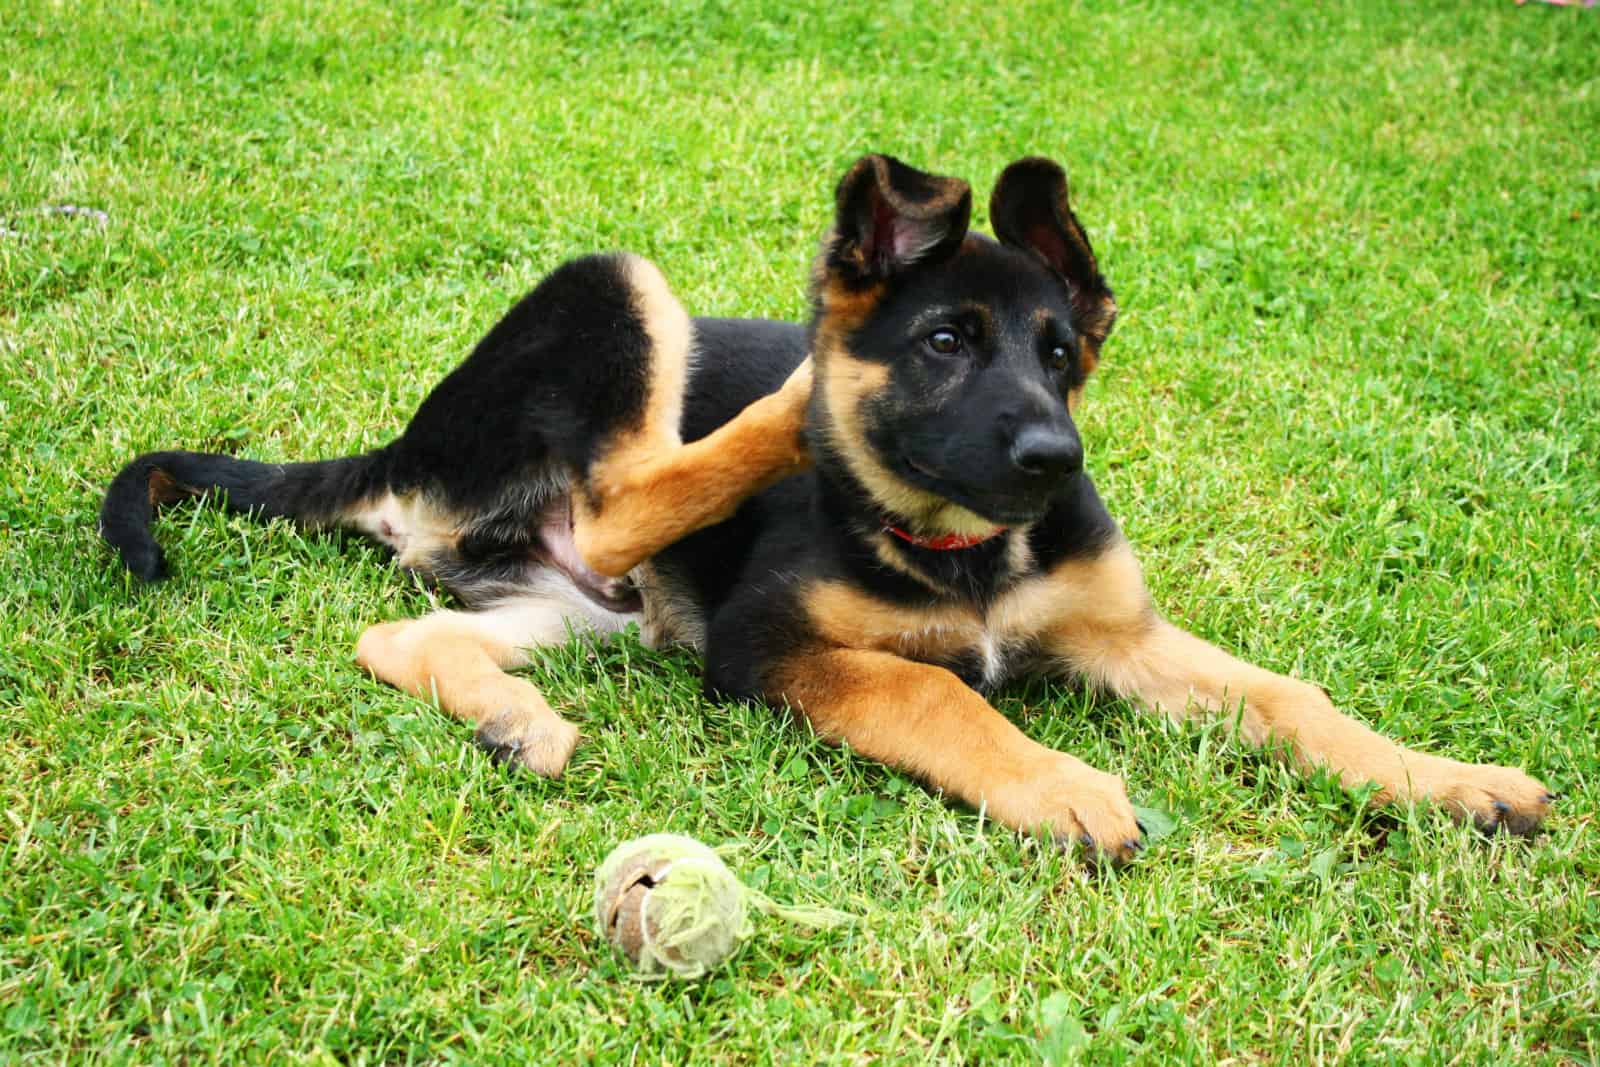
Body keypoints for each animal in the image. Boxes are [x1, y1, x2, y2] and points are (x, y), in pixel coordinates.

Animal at [100, 154, 1548, 863]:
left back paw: (519, 720)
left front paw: (1449, 780)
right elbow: (935, 691)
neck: (964, 549)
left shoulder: (1119, 634)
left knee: (400, 634)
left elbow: (1294, 698)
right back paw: (797, 392)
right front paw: (1060, 783)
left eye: (1062, 352)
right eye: (947, 342)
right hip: (616, 293)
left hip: (583, 611)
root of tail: (409, 437)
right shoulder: (766, 646)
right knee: (629, 491)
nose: (1055, 456)